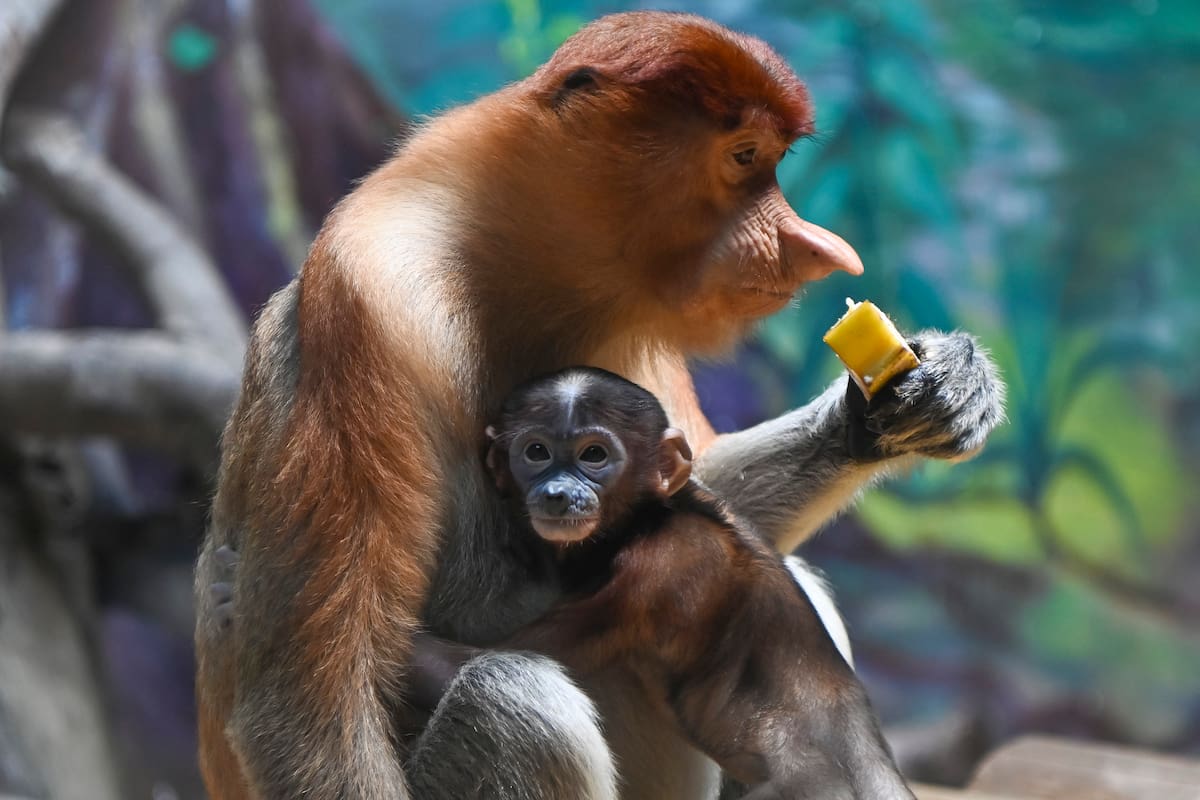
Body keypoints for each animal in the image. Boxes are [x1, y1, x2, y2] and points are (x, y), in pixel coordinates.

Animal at [194, 11, 1004, 800]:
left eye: (771, 160)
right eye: (745, 157)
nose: (817, 249)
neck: (503, 258)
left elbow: (698, 491)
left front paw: (928, 393)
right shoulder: (371, 303)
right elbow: (312, 702)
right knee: (514, 699)